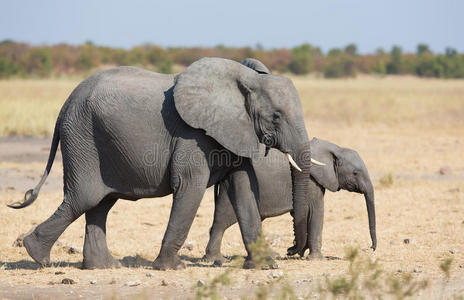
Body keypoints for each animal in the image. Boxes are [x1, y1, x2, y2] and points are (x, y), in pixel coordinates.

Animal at [8, 57, 320, 270]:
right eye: (276, 116)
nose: (293, 251)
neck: (245, 79)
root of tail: (64, 106)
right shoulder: (192, 135)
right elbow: (190, 187)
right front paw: (170, 267)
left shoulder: (235, 132)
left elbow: (244, 190)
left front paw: (265, 266)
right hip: (83, 138)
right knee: (84, 198)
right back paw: (37, 255)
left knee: (100, 204)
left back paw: (104, 266)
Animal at [205, 137, 376, 262]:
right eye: (355, 173)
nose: (371, 248)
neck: (335, 149)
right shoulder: (313, 182)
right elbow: (316, 211)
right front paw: (315, 259)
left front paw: (301, 252)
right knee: (222, 221)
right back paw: (214, 259)